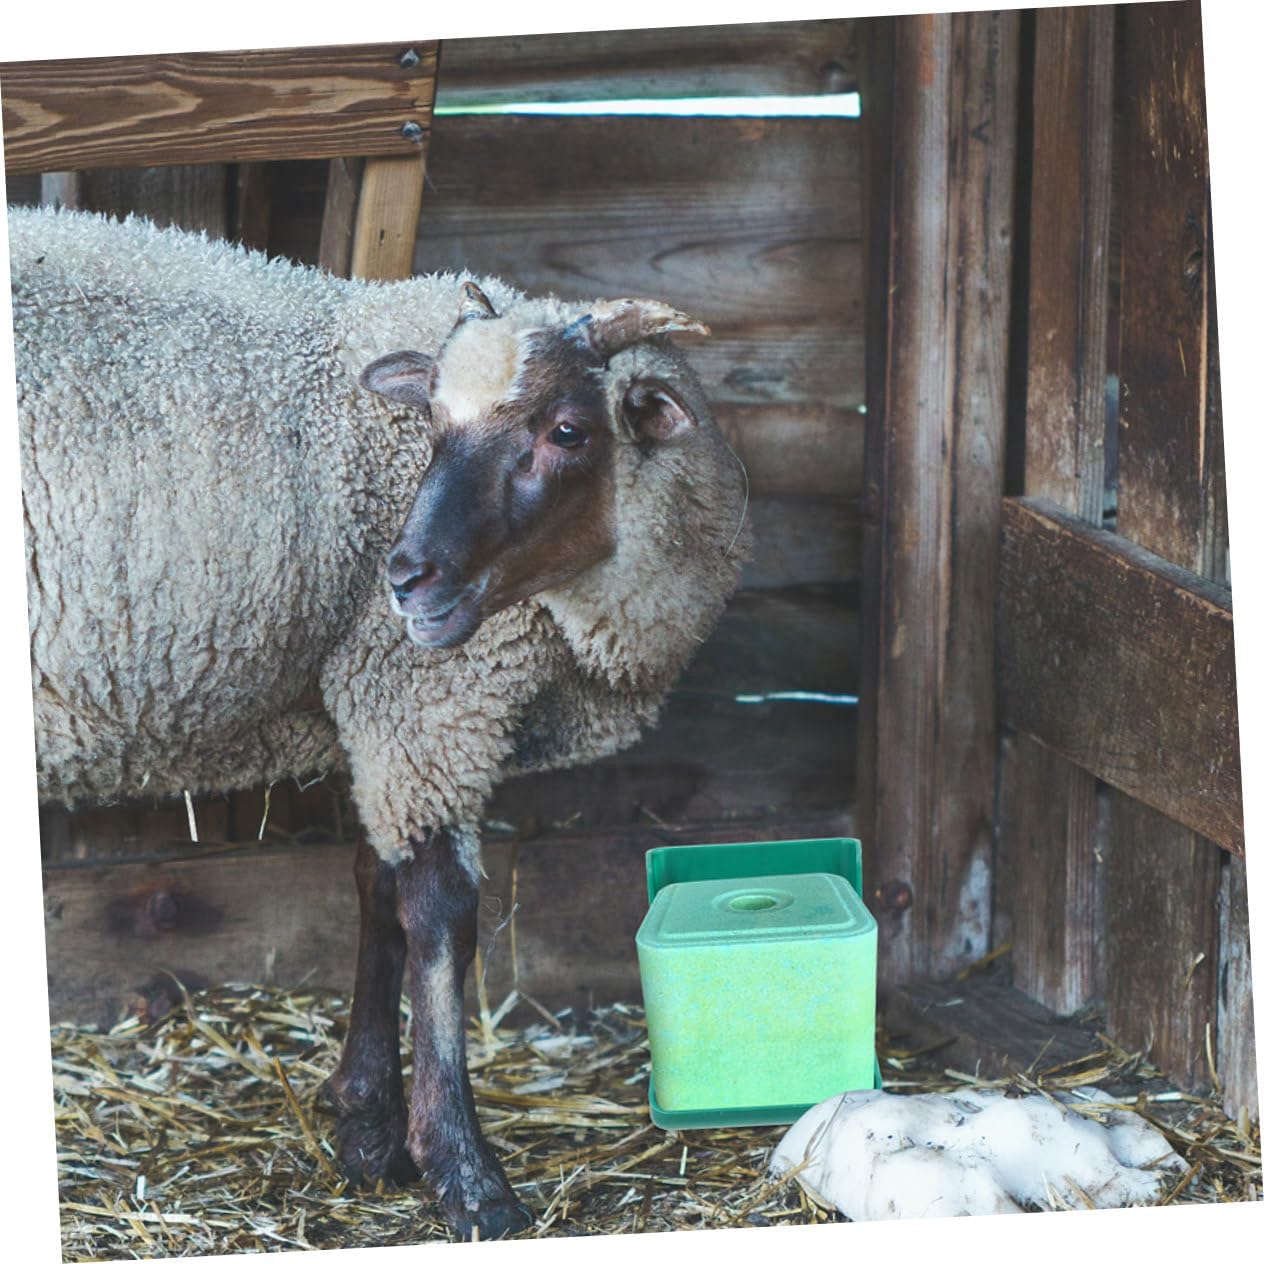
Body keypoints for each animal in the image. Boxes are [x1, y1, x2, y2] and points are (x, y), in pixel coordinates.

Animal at [9, 204, 748, 1240]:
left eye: (568, 429)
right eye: (432, 425)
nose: (407, 578)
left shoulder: (385, 707)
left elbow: (375, 883)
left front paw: (367, 1125)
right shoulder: (424, 695)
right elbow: (438, 911)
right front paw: (466, 1174)